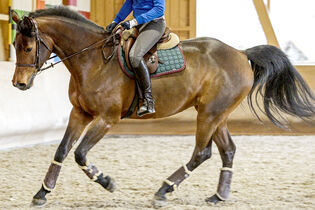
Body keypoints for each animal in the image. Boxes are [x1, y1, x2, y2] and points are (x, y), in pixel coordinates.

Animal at [10, 6, 315, 207]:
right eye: (14, 44)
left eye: (28, 48)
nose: (18, 84)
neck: (93, 60)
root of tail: (241, 53)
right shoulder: (80, 113)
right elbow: (62, 151)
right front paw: (42, 192)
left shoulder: (107, 118)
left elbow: (80, 154)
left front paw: (107, 181)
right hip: (216, 114)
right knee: (227, 151)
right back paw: (218, 196)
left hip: (210, 114)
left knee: (201, 152)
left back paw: (164, 190)